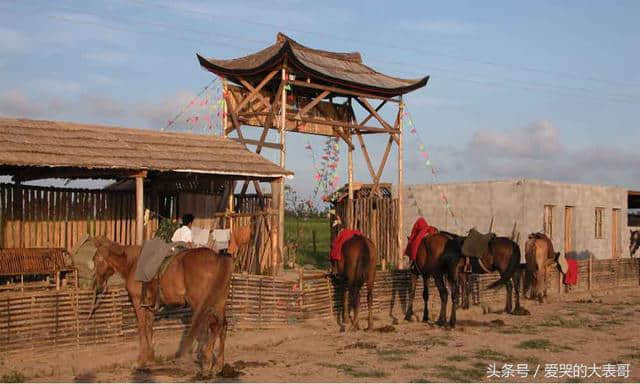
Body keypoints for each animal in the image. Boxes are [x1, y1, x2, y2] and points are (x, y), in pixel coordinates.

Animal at [90, 226, 250, 374]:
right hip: (219, 303)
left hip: (200, 303)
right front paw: (150, 358)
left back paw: (206, 360)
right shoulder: (149, 305)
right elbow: (149, 328)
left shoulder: (138, 303)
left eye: (96, 259)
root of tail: (218, 258)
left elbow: (142, 329)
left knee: (214, 325)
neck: (133, 264)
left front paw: (140, 362)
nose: (97, 284)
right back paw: (218, 365)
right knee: (222, 326)